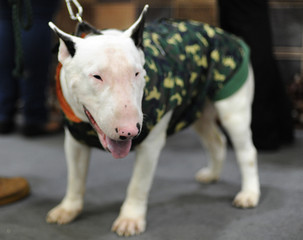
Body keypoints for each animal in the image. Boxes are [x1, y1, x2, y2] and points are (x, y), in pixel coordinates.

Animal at [46, 5, 260, 236]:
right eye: (96, 76)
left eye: (137, 73)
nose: (129, 131)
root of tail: (230, 37)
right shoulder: (75, 140)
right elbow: (75, 177)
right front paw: (68, 209)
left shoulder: (151, 143)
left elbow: (138, 184)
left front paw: (130, 219)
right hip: (196, 105)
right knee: (216, 141)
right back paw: (211, 174)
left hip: (232, 104)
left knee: (246, 151)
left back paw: (249, 193)